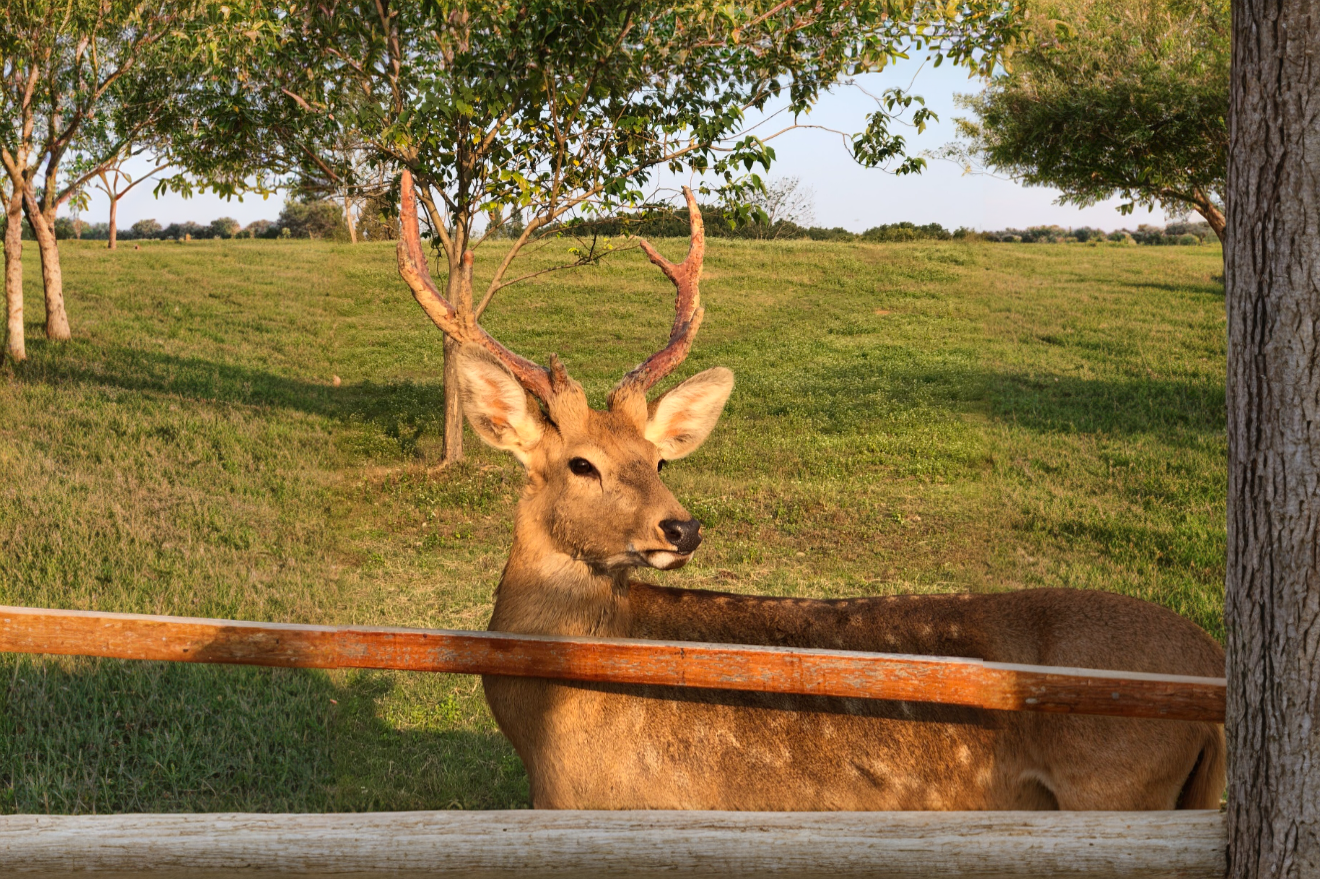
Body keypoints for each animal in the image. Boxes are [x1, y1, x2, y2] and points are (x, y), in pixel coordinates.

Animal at [393, 168, 1224, 807]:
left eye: (658, 461)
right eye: (582, 464)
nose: (682, 528)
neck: (542, 731)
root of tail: (1214, 673)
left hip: (1116, 784)